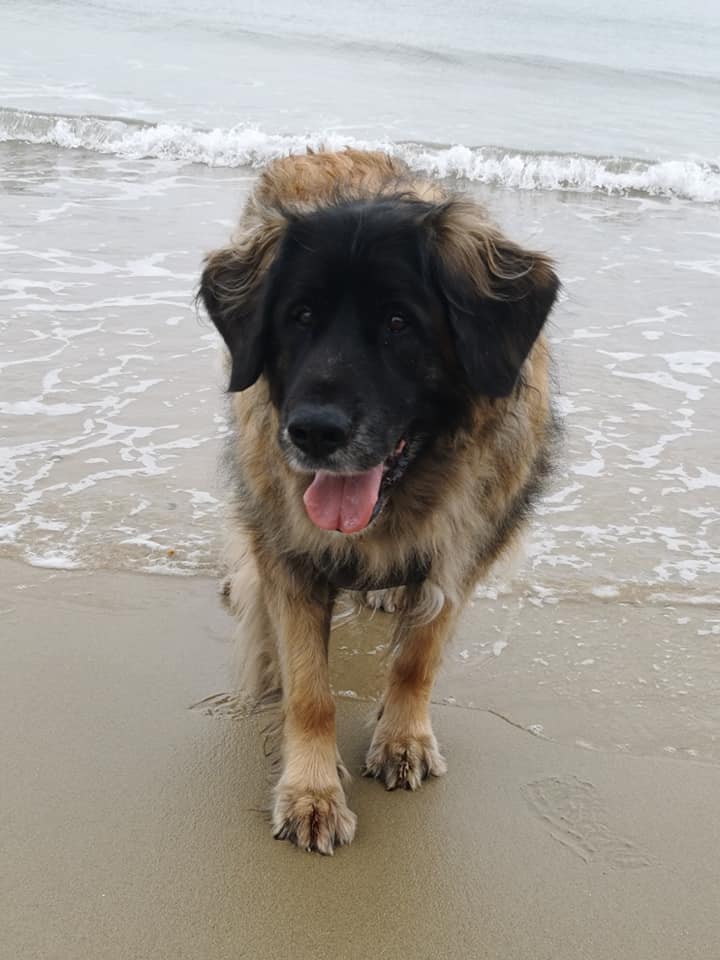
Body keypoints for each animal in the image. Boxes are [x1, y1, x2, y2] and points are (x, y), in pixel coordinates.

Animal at [198, 150, 564, 856]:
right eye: (299, 317)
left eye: (400, 323)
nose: (312, 433)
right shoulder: (291, 553)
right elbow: (310, 690)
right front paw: (312, 791)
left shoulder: (461, 554)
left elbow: (418, 659)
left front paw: (403, 738)